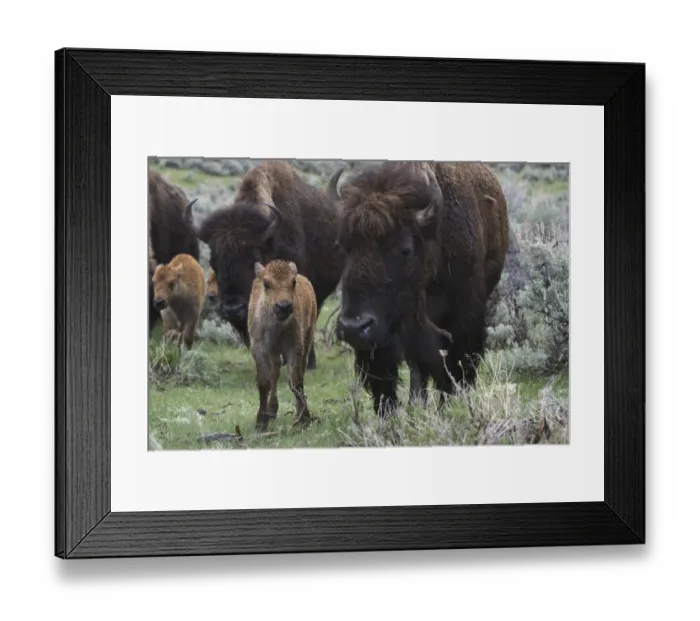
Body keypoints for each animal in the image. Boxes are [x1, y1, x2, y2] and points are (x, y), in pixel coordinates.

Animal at [248, 260, 317, 431]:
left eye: (293, 282)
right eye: (266, 283)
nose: (284, 306)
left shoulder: (295, 347)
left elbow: (296, 381)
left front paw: (304, 417)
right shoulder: (259, 348)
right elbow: (264, 382)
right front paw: (261, 421)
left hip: (307, 338)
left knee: (297, 372)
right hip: (274, 352)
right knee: (275, 372)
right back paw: (272, 410)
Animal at [329, 161, 509, 417]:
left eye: (405, 249)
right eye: (341, 246)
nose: (353, 328)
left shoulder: (463, 317)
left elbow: (454, 368)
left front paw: (449, 407)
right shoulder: (387, 333)